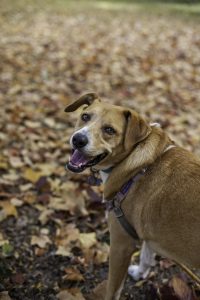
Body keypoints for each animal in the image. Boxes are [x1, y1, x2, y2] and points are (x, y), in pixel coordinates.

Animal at [65, 92, 199, 300]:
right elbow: (147, 254)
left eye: (109, 130)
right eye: (85, 116)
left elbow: (113, 290)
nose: (78, 139)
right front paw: (140, 273)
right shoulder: (147, 232)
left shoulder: (120, 245)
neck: (137, 166)